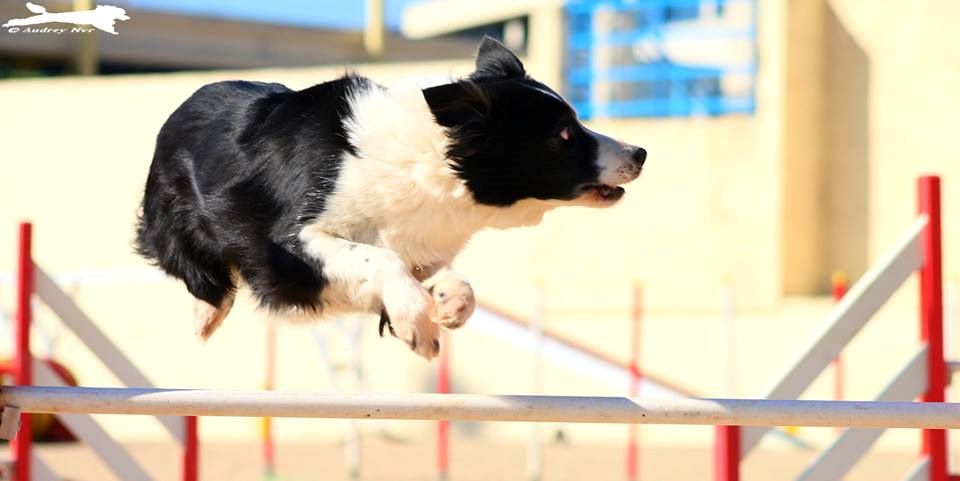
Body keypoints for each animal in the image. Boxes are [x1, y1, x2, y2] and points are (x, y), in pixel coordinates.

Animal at [135, 37, 644, 358]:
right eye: (562, 135)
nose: (640, 153)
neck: (431, 162)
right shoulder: (292, 241)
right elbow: (379, 258)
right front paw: (417, 326)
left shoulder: (417, 244)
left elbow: (448, 280)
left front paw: (447, 306)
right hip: (176, 218)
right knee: (199, 271)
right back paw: (206, 314)